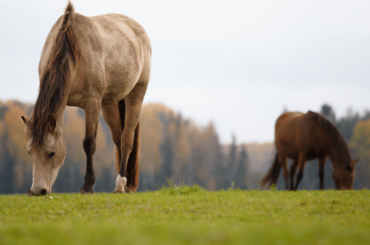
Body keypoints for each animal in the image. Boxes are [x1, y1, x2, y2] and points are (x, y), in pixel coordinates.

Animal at [19, 0, 150, 195]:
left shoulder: (92, 104)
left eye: (52, 153)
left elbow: (89, 144)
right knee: (118, 139)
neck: (71, 51)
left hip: (135, 95)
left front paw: (87, 186)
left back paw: (120, 185)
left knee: (127, 140)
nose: (37, 191)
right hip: (109, 105)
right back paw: (124, 184)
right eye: (30, 153)